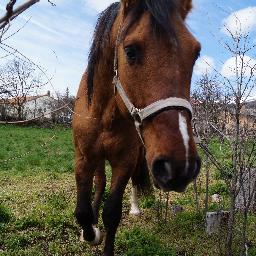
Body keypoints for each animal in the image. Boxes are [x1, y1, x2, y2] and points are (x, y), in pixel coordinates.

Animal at [72, 1, 200, 255]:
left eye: (195, 53)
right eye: (130, 51)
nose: (181, 166)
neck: (105, 113)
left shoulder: (125, 160)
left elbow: (112, 213)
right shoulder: (83, 158)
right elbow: (82, 211)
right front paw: (89, 233)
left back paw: (134, 207)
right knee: (99, 181)